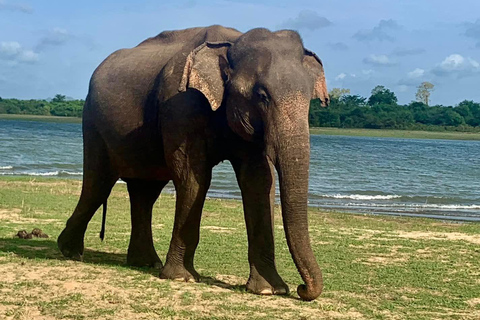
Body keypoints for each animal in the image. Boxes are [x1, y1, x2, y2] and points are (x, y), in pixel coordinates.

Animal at [55, 24, 326, 300]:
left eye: (309, 98)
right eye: (262, 96)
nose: (302, 289)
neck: (232, 42)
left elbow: (259, 182)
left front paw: (268, 290)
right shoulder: (181, 106)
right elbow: (193, 177)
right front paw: (181, 278)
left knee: (144, 193)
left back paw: (145, 262)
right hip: (93, 123)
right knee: (98, 184)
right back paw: (69, 251)